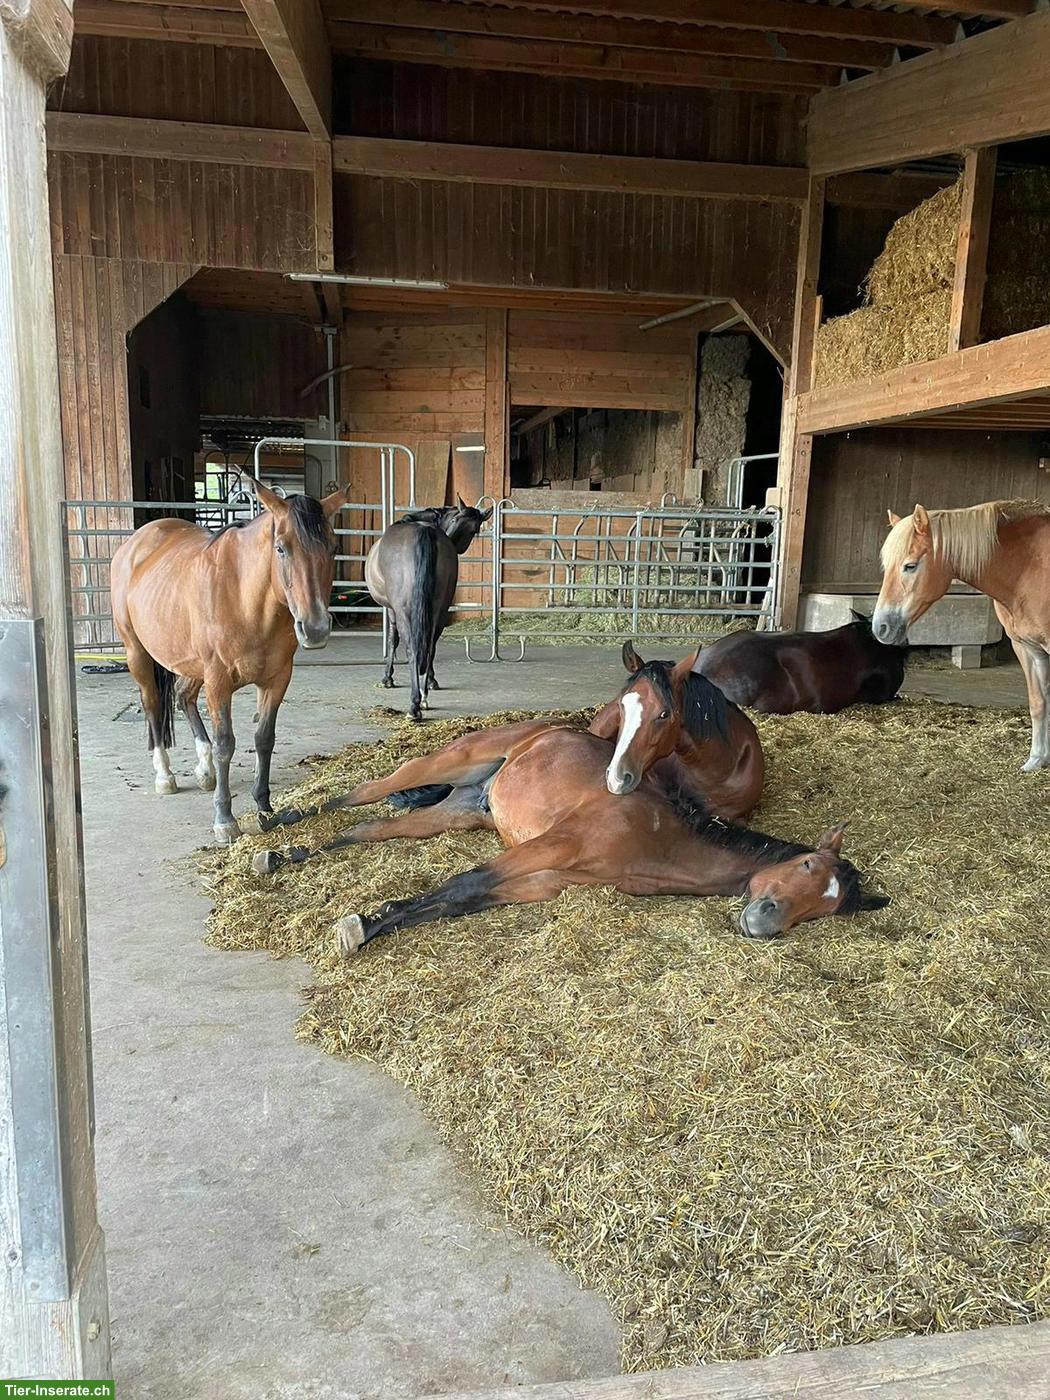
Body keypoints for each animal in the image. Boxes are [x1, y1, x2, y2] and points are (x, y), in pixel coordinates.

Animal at [110, 479, 350, 842]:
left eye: (333, 548)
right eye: (281, 548)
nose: (316, 628)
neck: (245, 599)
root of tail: (137, 543)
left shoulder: (277, 679)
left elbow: (264, 739)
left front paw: (264, 806)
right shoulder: (219, 681)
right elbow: (226, 743)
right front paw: (224, 820)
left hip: (191, 665)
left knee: (183, 697)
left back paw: (205, 770)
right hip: (138, 654)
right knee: (152, 704)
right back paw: (165, 775)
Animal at [366, 497, 492, 721]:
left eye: (473, 530)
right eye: (456, 520)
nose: (452, 540)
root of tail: (424, 531)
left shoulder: (392, 610)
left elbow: (393, 640)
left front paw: (387, 678)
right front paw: (432, 681)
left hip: (405, 612)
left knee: (413, 649)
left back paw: (415, 704)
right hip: (439, 610)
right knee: (430, 646)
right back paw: (424, 694)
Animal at [873, 499, 1050, 771]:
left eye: (910, 566)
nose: (880, 627)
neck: (1029, 566)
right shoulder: (1028, 649)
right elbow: (1038, 703)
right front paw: (1037, 759)